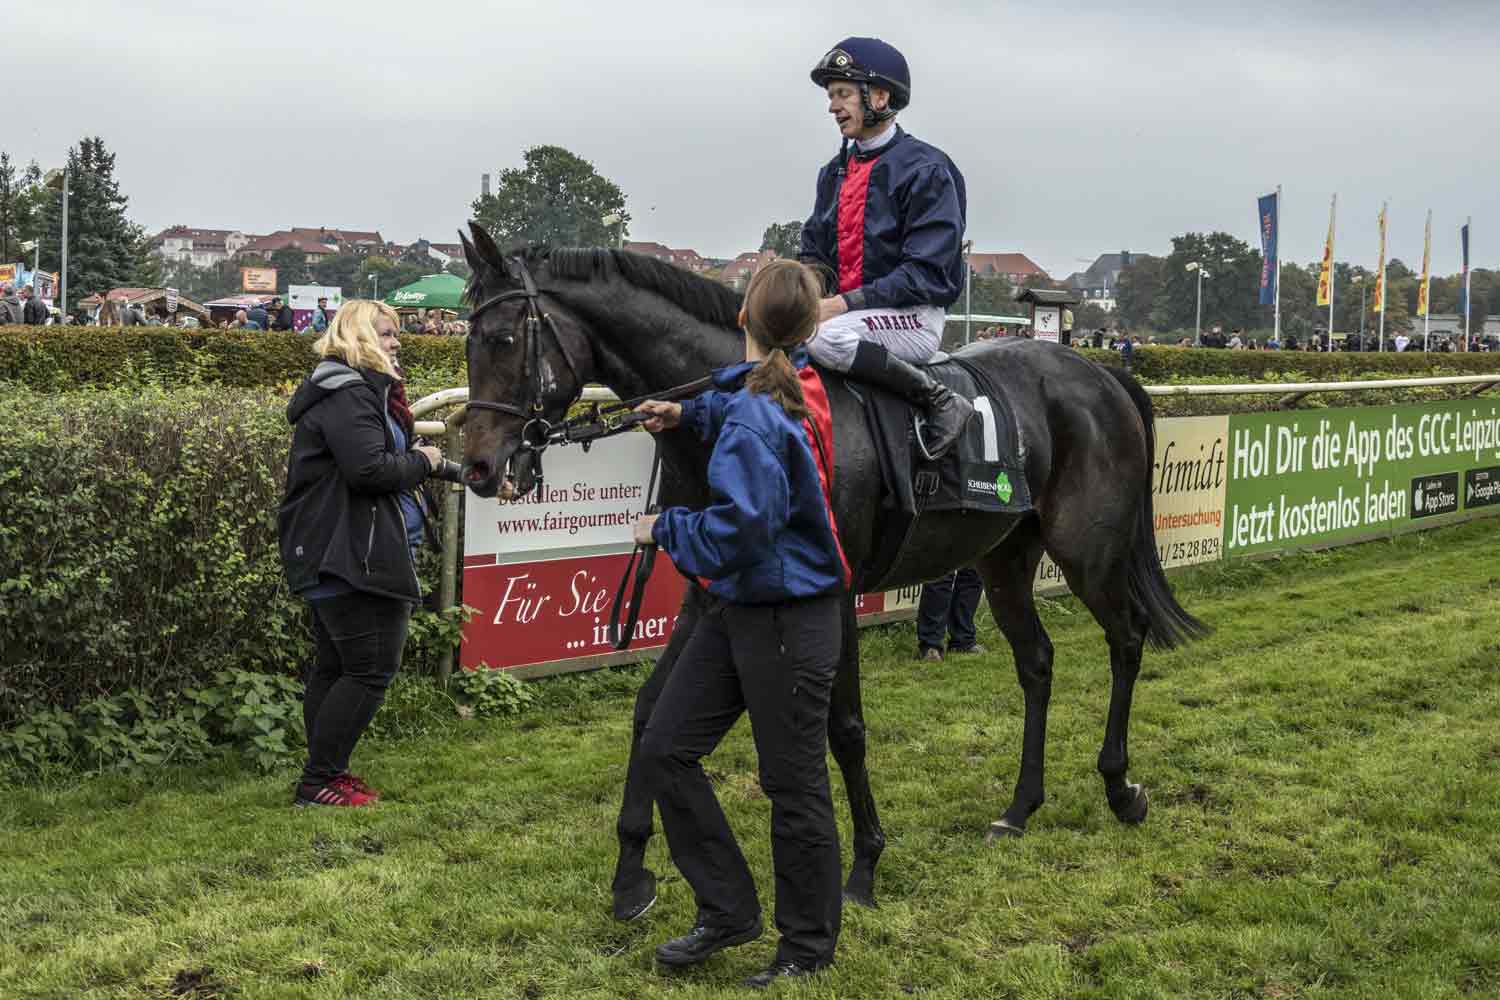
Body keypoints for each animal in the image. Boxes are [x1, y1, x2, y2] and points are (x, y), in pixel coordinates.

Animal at [456, 223, 1206, 917]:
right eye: (466, 338)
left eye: (502, 338)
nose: (480, 468)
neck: (745, 397)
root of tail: (1098, 373)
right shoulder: (709, 593)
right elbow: (650, 712)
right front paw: (630, 872)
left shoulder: (834, 591)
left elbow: (843, 729)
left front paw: (865, 866)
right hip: (1004, 556)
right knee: (1038, 663)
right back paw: (1019, 808)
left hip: (1087, 550)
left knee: (1127, 639)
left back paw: (1120, 786)